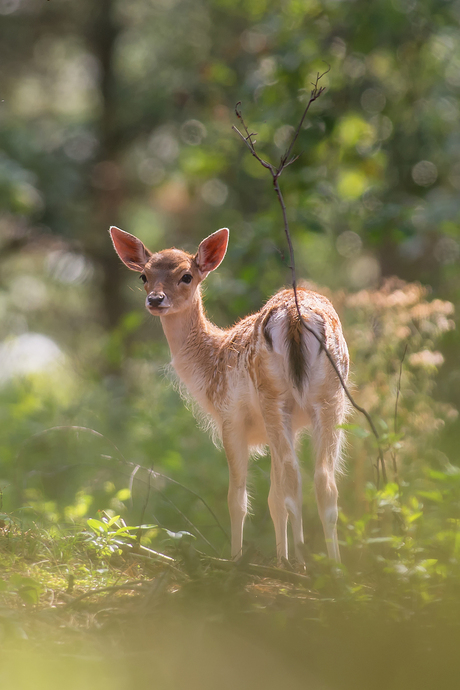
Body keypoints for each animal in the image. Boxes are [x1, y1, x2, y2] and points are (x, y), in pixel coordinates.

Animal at [110, 228, 348, 560]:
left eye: (186, 276)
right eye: (143, 275)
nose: (155, 299)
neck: (212, 358)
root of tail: (295, 316)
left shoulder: (230, 417)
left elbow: (238, 499)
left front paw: (237, 558)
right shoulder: (291, 427)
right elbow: (274, 500)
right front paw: (279, 560)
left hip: (273, 396)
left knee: (293, 477)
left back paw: (301, 562)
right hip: (330, 397)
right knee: (324, 480)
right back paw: (332, 567)